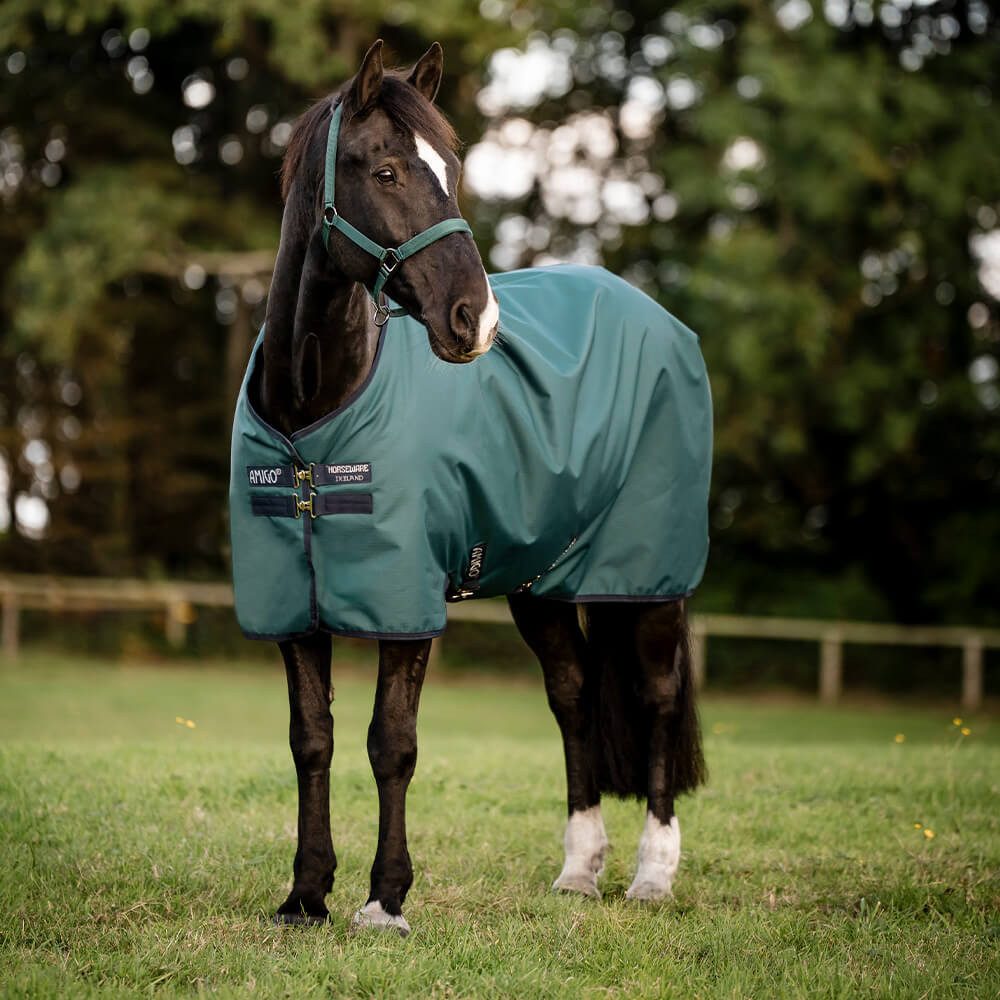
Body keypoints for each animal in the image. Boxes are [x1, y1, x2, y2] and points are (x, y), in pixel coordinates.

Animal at [232, 39, 709, 936]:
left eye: (451, 170)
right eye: (384, 169)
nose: (475, 321)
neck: (315, 414)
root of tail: (657, 317)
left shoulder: (406, 600)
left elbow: (392, 742)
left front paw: (385, 900)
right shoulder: (290, 606)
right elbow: (311, 739)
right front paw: (306, 895)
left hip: (648, 578)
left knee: (658, 698)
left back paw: (654, 875)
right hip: (541, 583)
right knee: (573, 696)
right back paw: (579, 870)